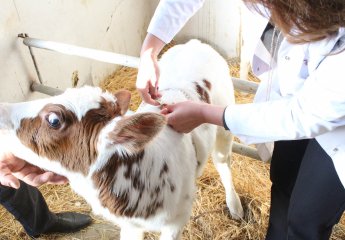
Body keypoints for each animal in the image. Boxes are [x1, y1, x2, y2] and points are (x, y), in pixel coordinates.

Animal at [0, 39, 242, 240]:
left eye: (53, 119)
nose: (2, 109)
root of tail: (195, 43)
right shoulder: (130, 226)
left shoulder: (176, 221)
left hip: (224, 128)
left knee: (223, 163)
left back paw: (235, 206)